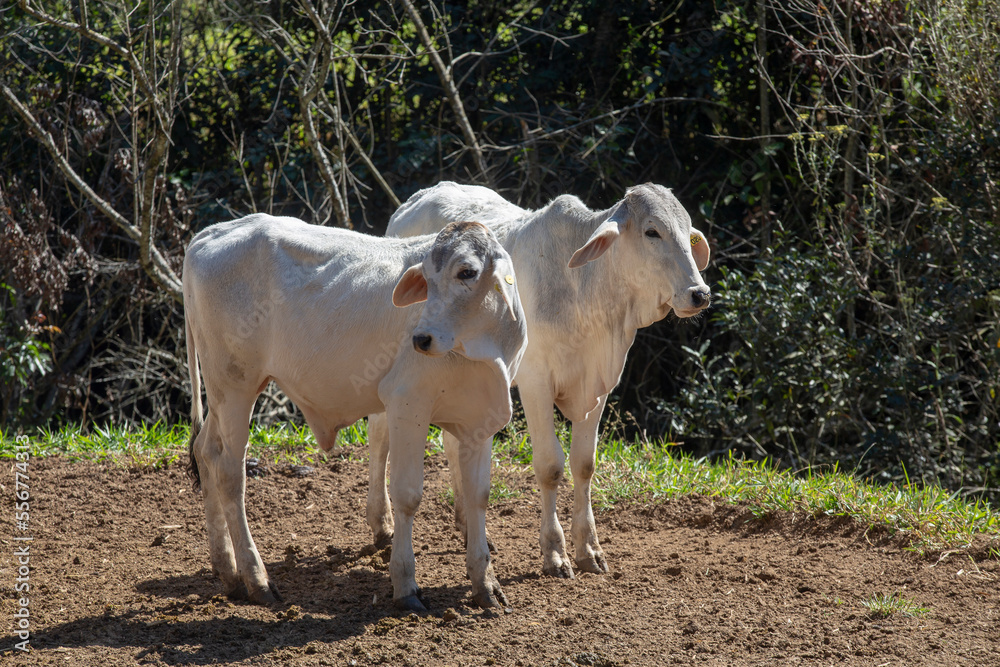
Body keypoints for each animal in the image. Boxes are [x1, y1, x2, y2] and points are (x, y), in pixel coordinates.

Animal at [183, 214, 527, 611]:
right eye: (426, 277)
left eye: (467, 272)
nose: (420, 339)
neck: (483, 349)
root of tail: (211, 233)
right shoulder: (406, 403)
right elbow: (408, 494)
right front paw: (406, 586)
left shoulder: (479, 419)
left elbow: (478, 496)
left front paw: (485, 584)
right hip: (234, 387)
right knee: (230, 474)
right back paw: (257, 579)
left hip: (223, 396)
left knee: (206, 453)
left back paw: (227, 570)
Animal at [370, 182, 710, 579]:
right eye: (651, 231)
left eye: (688, 232)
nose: (699, 293)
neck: (585, 289)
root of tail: (416, 199)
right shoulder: (535, 383)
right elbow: (550, 467)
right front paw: (554, 553)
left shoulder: (600, 387)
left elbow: (584, 464)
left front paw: (589, 550)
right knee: (379, 437)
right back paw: (382, 525)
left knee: (453, 443)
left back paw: (468, 528)